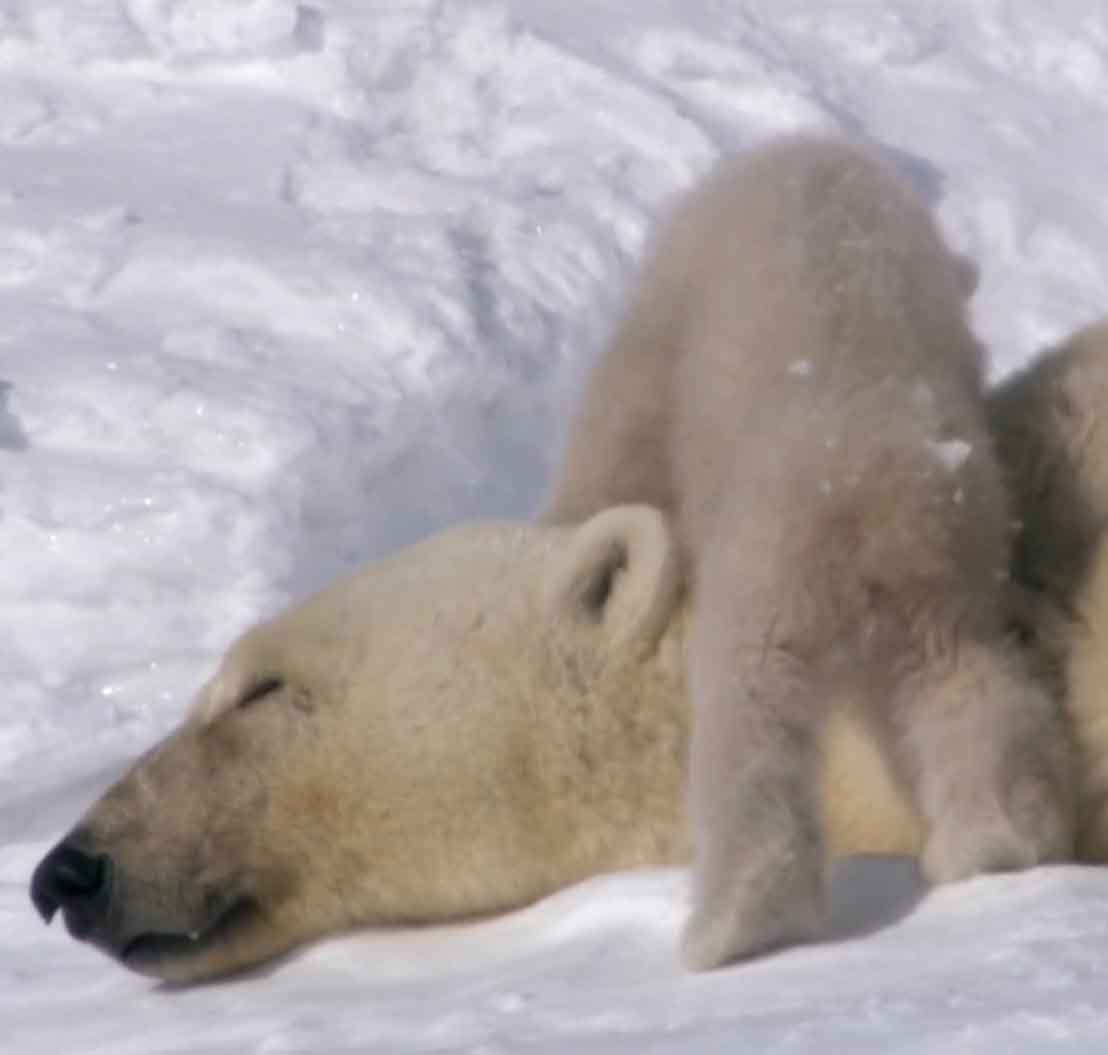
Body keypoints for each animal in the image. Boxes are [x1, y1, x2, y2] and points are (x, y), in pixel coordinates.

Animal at [545, 135, 1072, 966]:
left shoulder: (671, 307)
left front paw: (562, 514)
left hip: (773, 562)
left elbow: (620, 431)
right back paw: (997, 840)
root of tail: (880, 491)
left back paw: (735, 922)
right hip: (946, 571)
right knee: (965, 680)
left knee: (750, 710)